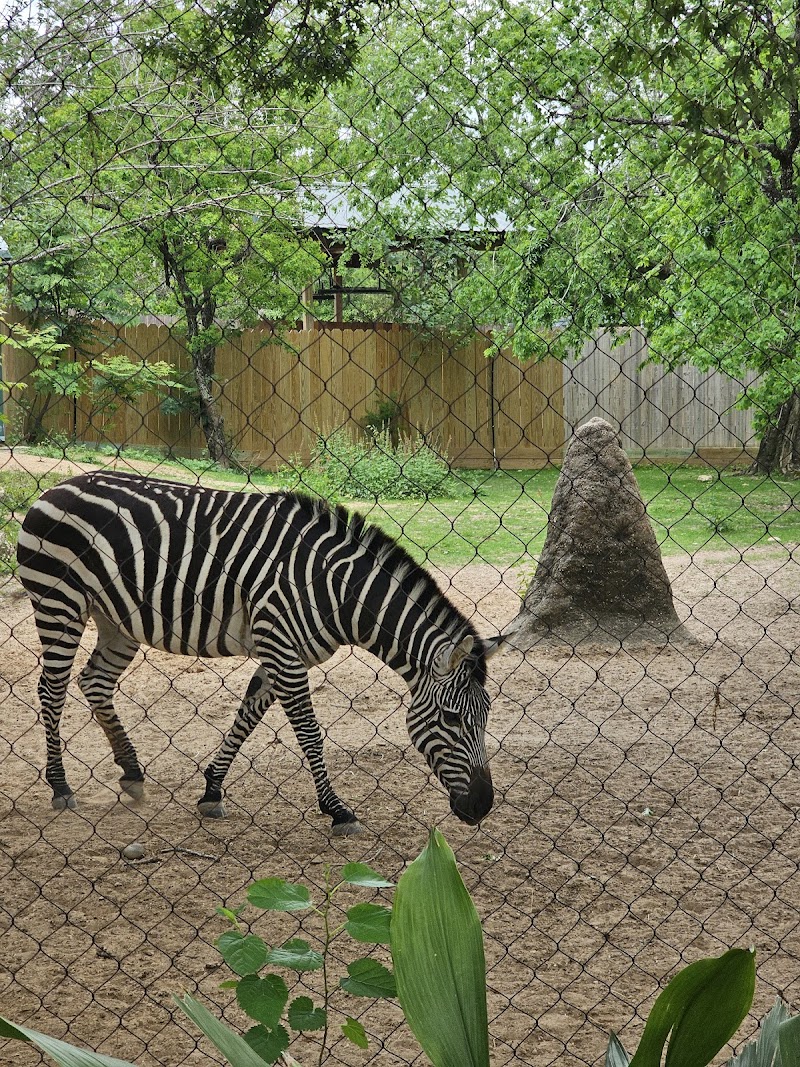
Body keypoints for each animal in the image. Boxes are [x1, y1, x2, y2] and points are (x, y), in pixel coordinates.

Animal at [17, 471, 504, 834]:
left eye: (485, 717)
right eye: (452, 719)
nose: (482, 807)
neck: (337, 590)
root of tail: (55, 488)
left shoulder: (284, 651)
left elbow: (247, 716)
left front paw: (212, 790)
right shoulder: (281, 645)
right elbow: (309, 732)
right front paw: (336, 810)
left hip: (115, 619)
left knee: (94, 681)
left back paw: (132, 772)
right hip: (59, 601)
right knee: (52, 691)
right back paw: (60, 786)